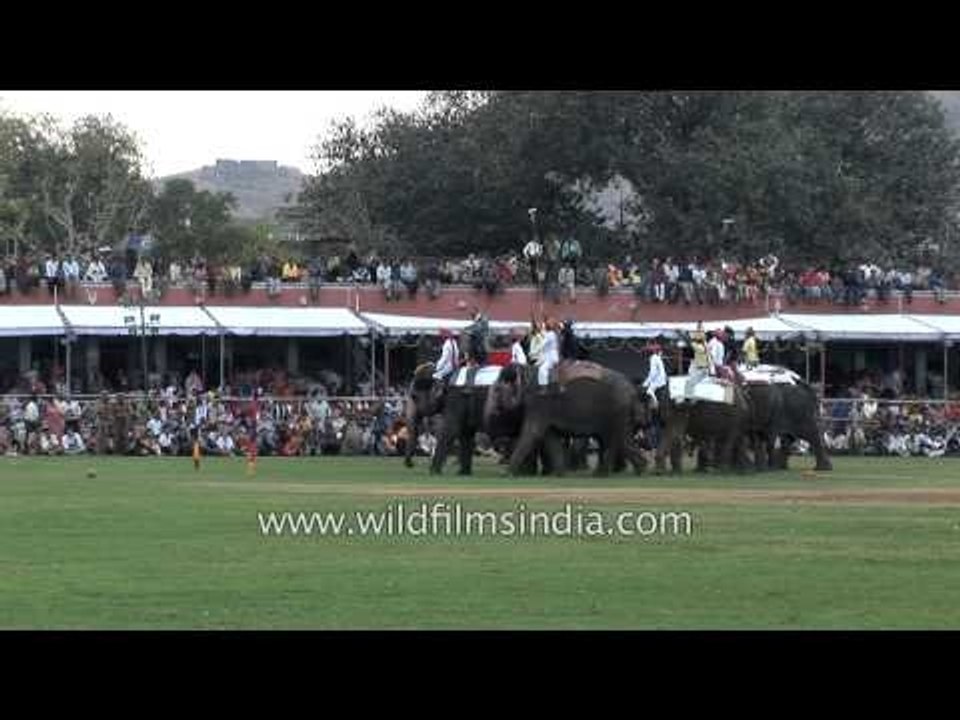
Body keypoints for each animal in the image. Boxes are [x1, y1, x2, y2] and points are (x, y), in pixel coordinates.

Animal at [485, 361, 648, 477]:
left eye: (497, 390)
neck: (527, 369)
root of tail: (633, 389)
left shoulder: (539, 405)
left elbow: (532, 433)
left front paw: (507, 473)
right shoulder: (544, 410)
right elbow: (550, 438)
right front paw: (559, 474)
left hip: (617, 411)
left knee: (618, 439)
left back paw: (637, 471)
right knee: (613, 440)